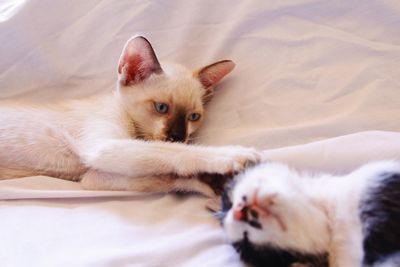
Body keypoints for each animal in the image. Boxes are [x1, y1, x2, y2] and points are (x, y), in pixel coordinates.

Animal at [0, 36, 260, 197]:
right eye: (161, 108)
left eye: (193, 117)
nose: (178, 136)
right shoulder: (105, 147)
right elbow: (174, 153)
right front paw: (232, 155)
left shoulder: (92, 178)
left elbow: (166, 177)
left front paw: (214, 183)